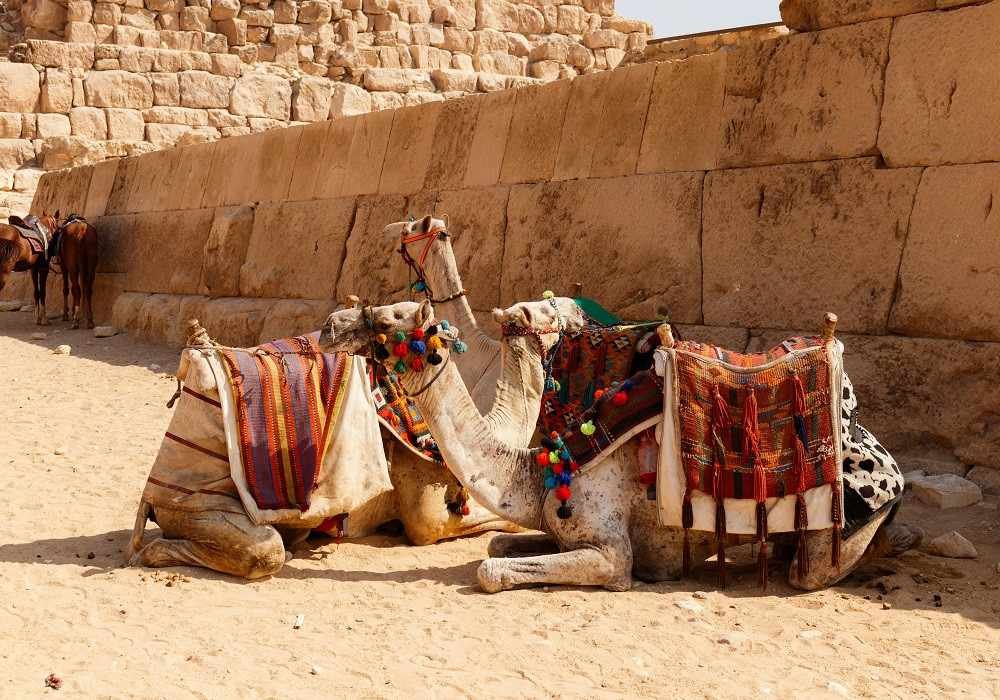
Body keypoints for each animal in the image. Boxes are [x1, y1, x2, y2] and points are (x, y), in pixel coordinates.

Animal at [322, 298, 920, 593]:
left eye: (390, 317)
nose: (331, 324)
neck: (542, 469)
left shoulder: (611, 552)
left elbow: (492, 573)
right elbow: (496, 548)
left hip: (839, 530)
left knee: (808, 570)